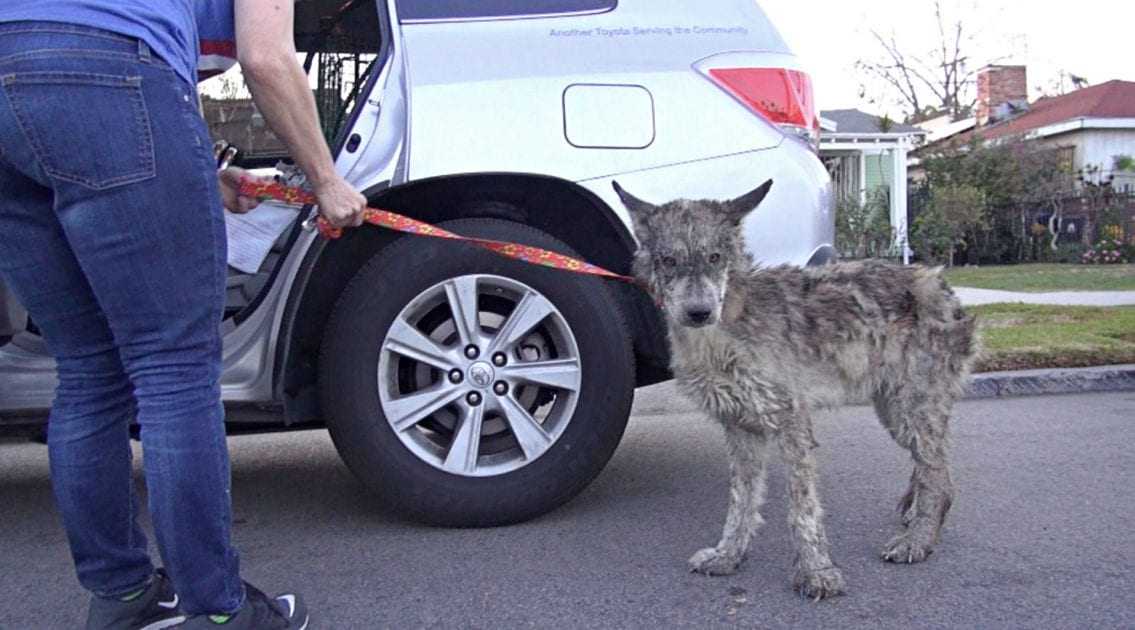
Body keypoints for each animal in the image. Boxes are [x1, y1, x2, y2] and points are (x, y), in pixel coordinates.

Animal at [612, 178, 976, 599]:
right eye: (668, 260)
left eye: (715, 257)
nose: (699, 312)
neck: (725, 331)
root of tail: (942, 285)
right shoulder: (740, 429)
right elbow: (742, 503)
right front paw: (728, 555)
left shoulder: (792, 425)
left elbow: (801, 507)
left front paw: (817, 571)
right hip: (895, 412)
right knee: (935, 469)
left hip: (911, 410)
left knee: (939, 477)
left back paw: (917, 540)